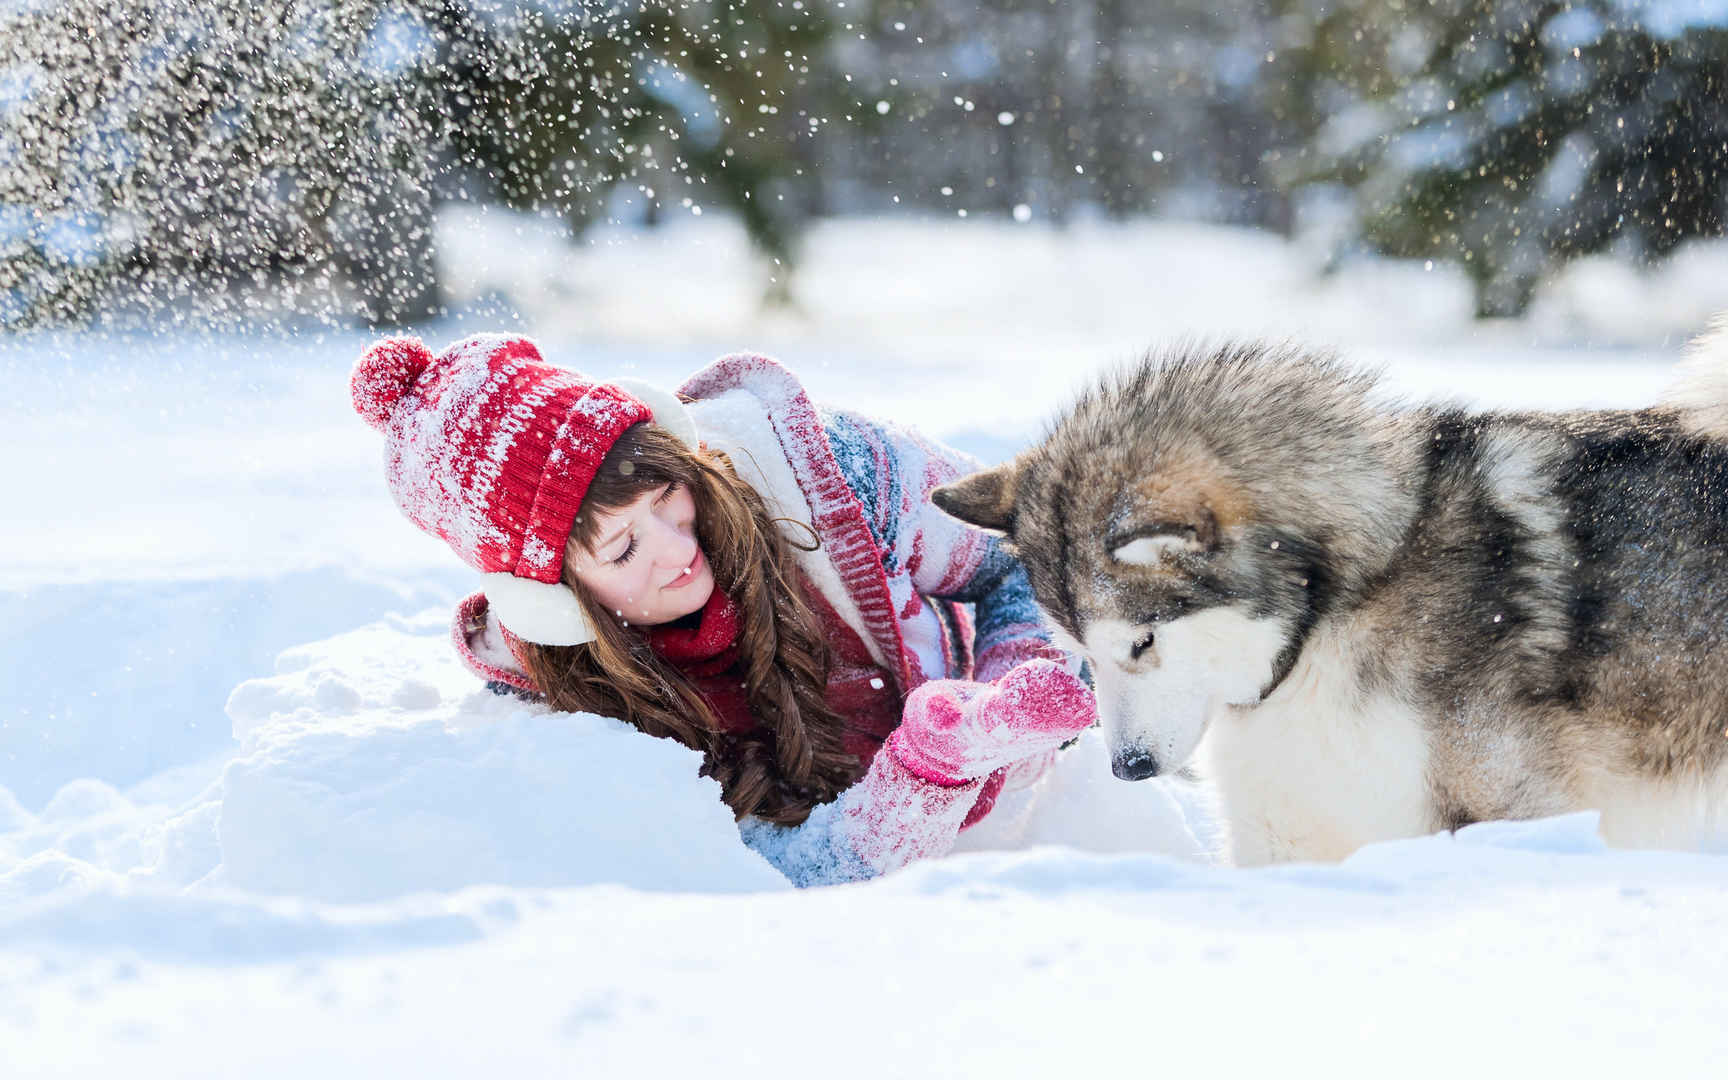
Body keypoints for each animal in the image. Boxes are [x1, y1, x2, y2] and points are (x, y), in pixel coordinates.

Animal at [940, 324, 1728, 864]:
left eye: (1142, 641)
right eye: (1079, 651)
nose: (1126, 769)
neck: (1332, 615)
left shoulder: (1513, 811)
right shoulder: (1286, 827)